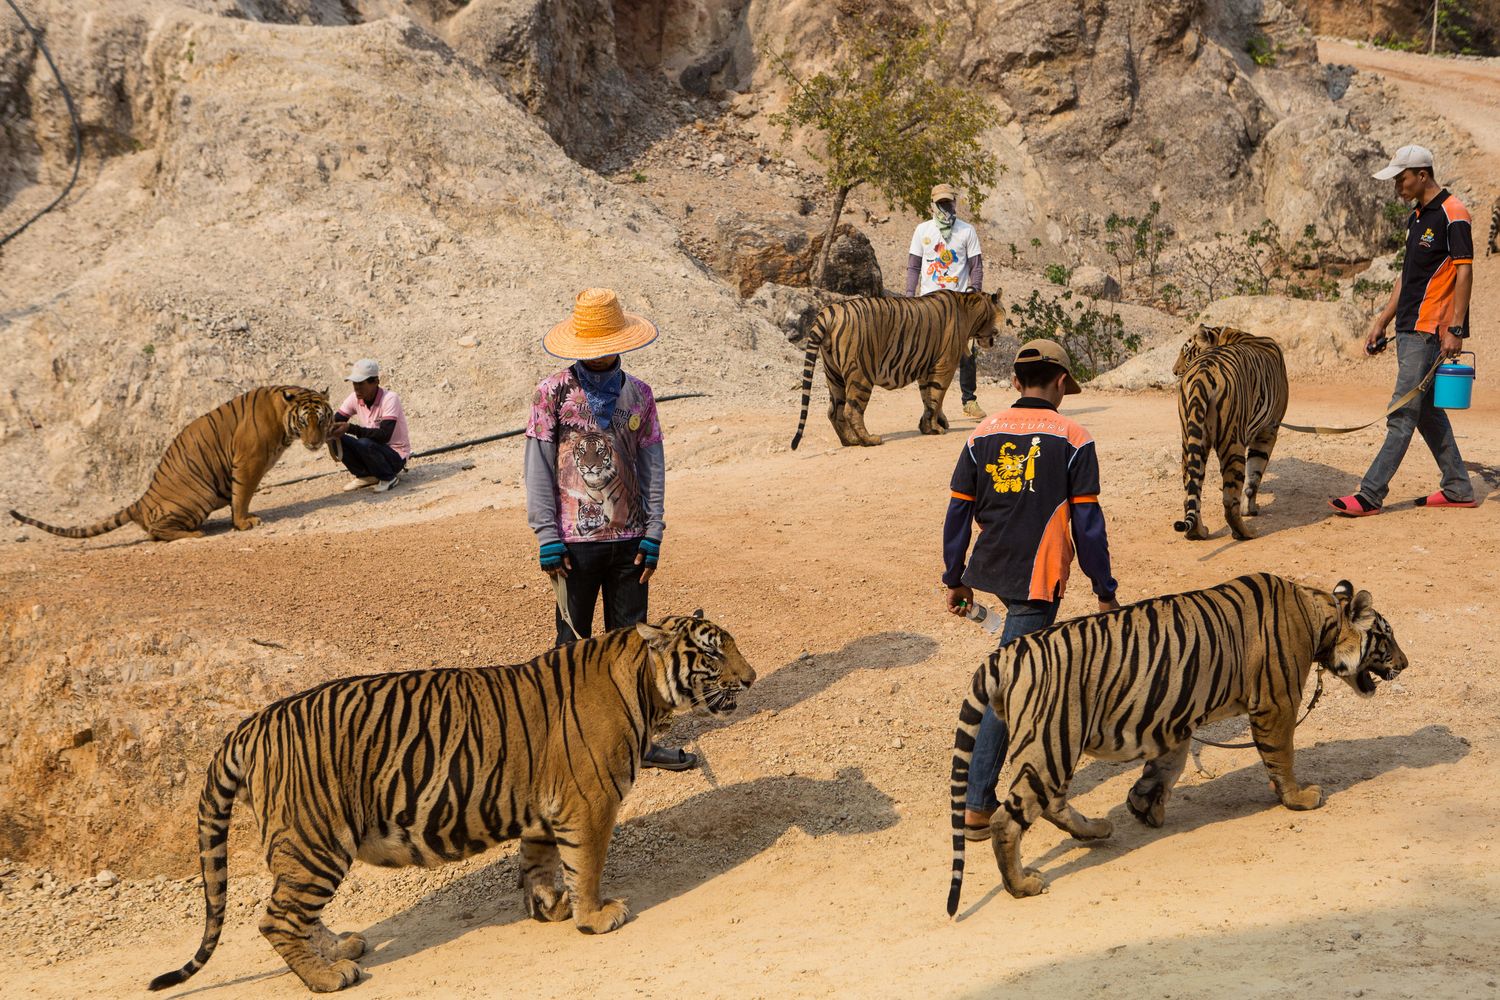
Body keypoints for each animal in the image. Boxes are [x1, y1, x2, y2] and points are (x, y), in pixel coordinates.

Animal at [12, 386, 331, 542]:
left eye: (322, 419)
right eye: (304, 422)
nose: (315, 443)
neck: (282, 418)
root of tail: (140, 501)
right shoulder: (248, 462)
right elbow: (241, 496)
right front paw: (244, 523)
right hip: (197, 496)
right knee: (155, 532)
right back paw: (193, 534)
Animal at [147, 611, 756, 995]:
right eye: (711, 652)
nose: (750, 679)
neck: (646, 685)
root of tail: (250, 724)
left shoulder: (545, 807)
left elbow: (541, 864)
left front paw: (551, 908)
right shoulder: (590, 803)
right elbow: (586, 866)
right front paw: (595, 917)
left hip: (304, 850)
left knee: (296, 913)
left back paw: (339, 949)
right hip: (314, 842)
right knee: (276, 918)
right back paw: (327, 978)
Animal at [786, 287, 1008, 446]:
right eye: (1004, 312)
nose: (1005, 322)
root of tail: (830, 311)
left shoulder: (927, 368)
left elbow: (928, 398)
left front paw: (930, 425)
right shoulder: (944, 365)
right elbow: (935, 398)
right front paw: (935, 428)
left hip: (834, 374)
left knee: (834, 411)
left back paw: (850, 440)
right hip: (861, 373)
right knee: (851, 410)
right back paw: (869, 440)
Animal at [948, 569, 1404, 917]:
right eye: (1386, 637)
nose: (1405, 663)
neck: (1319, 616)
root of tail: (1005, 653)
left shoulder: (1174, 718)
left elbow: (1167, 767)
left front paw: (1144, 805)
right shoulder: (1277, 703)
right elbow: (1282, 757)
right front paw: (1299, 798)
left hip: (1055, 744)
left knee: (1051, 803)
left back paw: (1096, 829)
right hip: (1052, 743)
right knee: (1008, 820)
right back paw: (1023, 885)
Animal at [1170, 325, 1290, 539]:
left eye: (1186, 352)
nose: (1174, 371)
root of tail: (1202, 373)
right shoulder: (1268, 430)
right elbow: (1254, 476)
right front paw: (1250, 509)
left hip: (1191, 441)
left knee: (1191, 493)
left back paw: (1198, 532)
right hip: (1232, 441)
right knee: (1229, 501)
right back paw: (1246, 533)